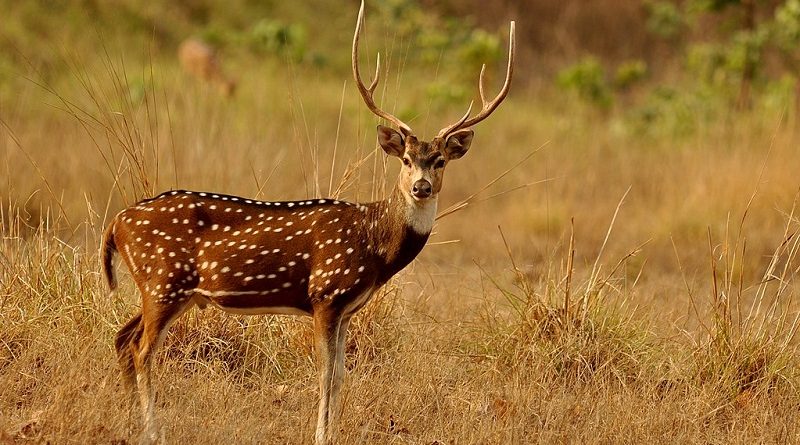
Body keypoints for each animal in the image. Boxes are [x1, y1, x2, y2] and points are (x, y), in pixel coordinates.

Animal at [103, 1, 516, 442]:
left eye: (439, 161)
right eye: (406, 160)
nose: (421, 187)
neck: (373, 244)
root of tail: (117, 223)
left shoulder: (347, 308)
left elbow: (340, 377)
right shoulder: (325, 294)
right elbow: (325, 375)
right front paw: (321, 434)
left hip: (164, 289)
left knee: (122, 338)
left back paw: (130, 422)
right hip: (163, 281)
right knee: (142, 349)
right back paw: (152, 431)